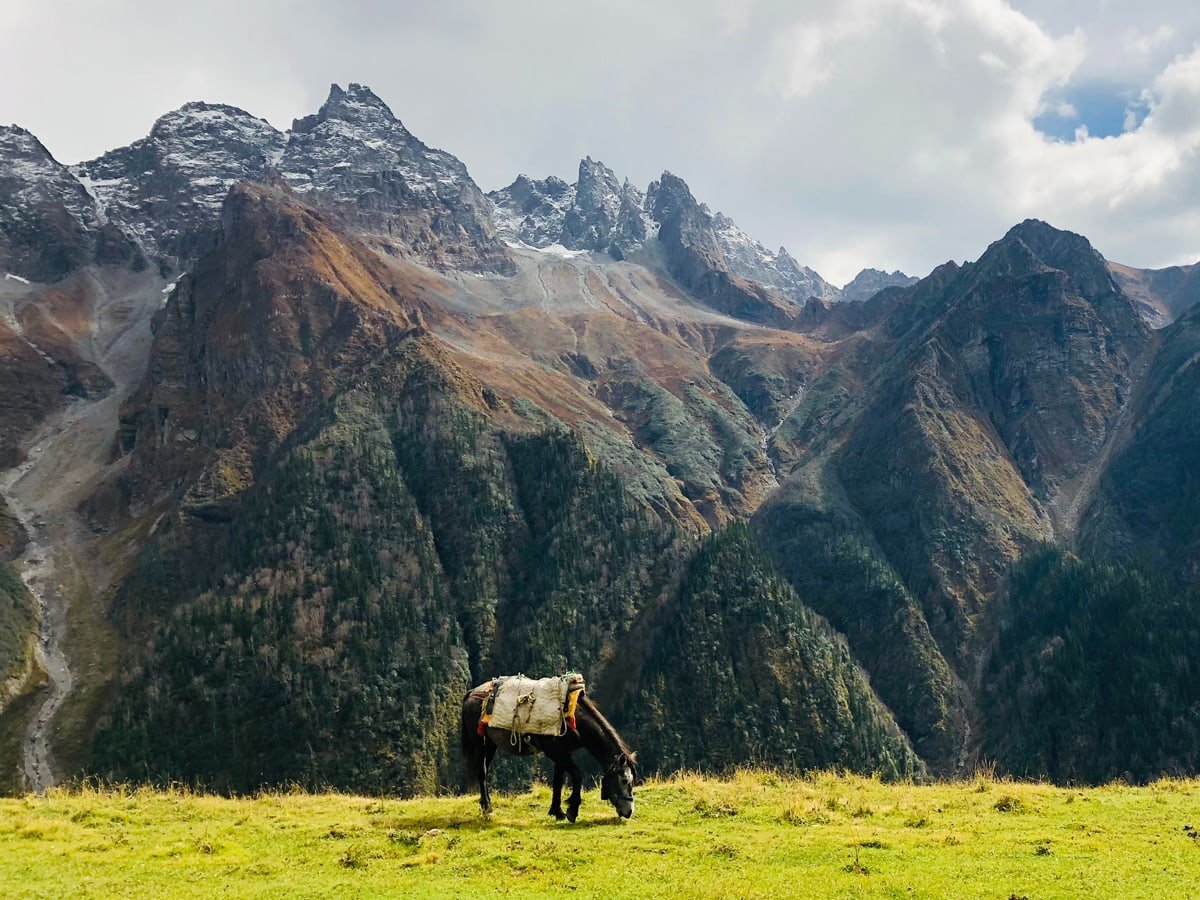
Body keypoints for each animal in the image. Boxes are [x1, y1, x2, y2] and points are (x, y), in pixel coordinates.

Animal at [460, 681, 648, 825]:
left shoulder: (562, 753)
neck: (573, 718)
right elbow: (577, 775)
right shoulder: (555, 753)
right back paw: (487, 809)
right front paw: (572, 810)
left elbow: (558, 780)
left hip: (491, 744)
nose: (629, 812)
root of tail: (471, 693)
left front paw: (556, 811)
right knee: (481, 772)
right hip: (479, 742)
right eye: (624, 780)